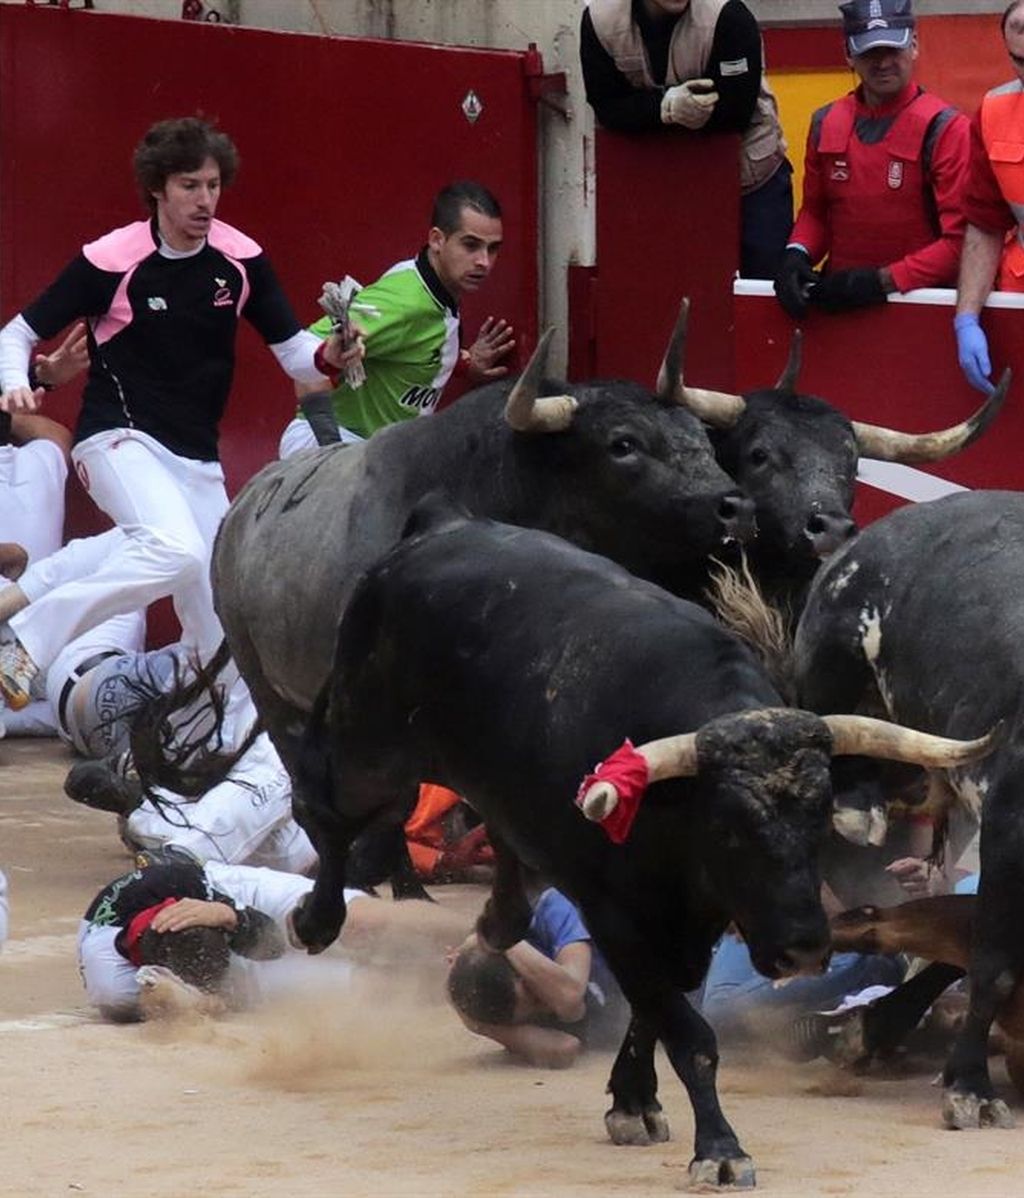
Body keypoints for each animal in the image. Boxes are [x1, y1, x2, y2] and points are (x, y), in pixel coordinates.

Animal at [288, 505, 991, 1188]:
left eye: (820, 820)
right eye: (728, 828)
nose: (803, 948)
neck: (670, 816)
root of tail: (440, 524)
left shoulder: (689, 927)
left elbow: (655, 1008)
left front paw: (633, 1100)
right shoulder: (614, 914)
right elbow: (687, 1030)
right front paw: (720, 1147)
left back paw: (497, 919)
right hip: (370, 747)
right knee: (325, 808)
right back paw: (313, 922)